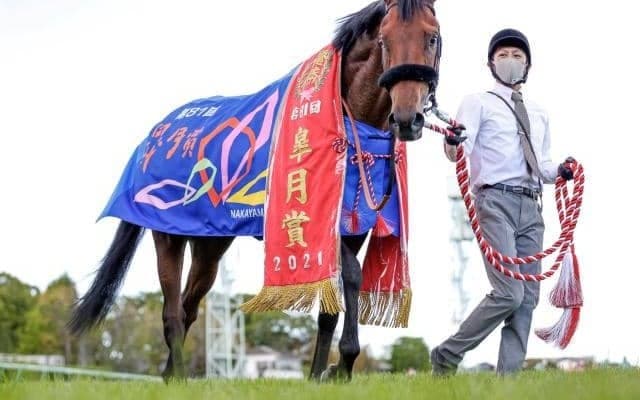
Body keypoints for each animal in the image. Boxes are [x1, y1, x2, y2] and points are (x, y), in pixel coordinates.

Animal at [69, 0, 441, 382]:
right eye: (384, 40)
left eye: (432, 38)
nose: (407, 118)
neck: (345, 122)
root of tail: (155, 135)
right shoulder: (321, 221)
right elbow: (351, 276)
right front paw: (343, 364)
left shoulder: (355, 227)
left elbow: (330, 306)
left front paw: (319, 374)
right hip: (168, 233)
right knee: (172, 311)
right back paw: (179, 374)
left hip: (210, 244)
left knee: (189, 306)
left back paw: (172, 375)